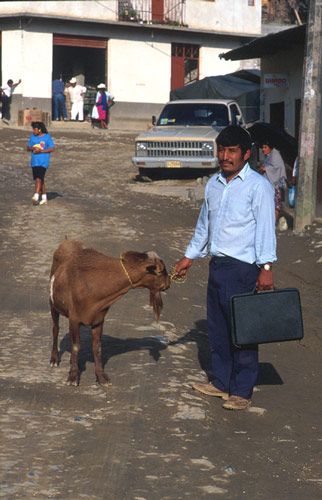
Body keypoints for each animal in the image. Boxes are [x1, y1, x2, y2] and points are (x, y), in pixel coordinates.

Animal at [49, 241, 170, 386]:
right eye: (160, 270)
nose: (168, 283)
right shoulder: (74, 318)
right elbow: (76, 346)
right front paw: (73, 377)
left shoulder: (98, 320)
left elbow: (97, 347)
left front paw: (101, 377)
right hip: (53, 305)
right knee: (55, 329)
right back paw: (54, 359)